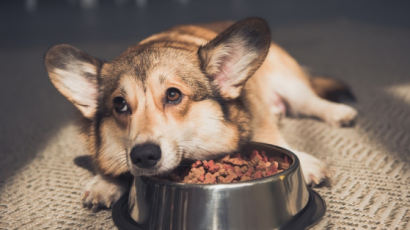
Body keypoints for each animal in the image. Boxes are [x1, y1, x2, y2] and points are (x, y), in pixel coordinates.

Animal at [44, 17, 356, 209]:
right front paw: (105, 184)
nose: (143, 155)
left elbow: (274, 138)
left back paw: (340, 112)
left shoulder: (259, 113)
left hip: (289, 82)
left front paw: (307, 163)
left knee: (311, 101)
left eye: (173, 95)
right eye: (120, 105)